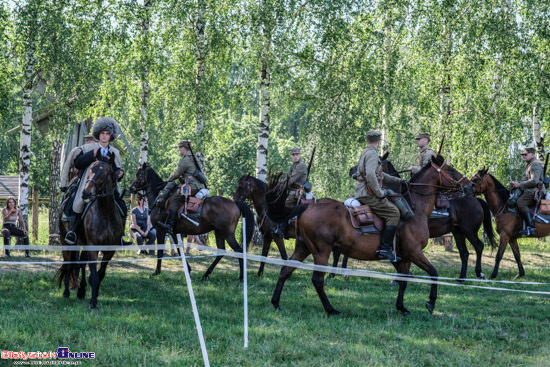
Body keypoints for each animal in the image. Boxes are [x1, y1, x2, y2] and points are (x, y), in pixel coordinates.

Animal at [58, 160, 125, 310]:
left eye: (105, 174)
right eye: (89, 171)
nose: (86, 193)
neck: (106, 213)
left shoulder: (110, 250)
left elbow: (100, 274)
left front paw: (93, 296)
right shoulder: (93, 246)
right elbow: (94, 275)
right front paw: (93, 303)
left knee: (81, 264)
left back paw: (81, 290)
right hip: (66, 242)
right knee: (68, 264)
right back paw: (66, 292)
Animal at [272, 155, 474, 316]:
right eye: (451, 170)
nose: (470, 185)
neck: (415, 209)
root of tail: (307, 207)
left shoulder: (404, 257)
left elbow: (404, 281)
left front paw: (401, 307)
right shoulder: (414, 252)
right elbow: (434, 273)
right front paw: (431, 302)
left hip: (303, 248)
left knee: (285, 271)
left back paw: (276, 303)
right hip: (321, 251)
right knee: (317, 280)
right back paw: (331, 309)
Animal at [334, 155, 498, 282]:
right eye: (450, 169)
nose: (470, 185)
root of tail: (475, 199)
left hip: (469, 230)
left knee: (479, 246)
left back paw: (479, 274)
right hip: (458, 231)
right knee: (464, 253)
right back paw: (461, 278)